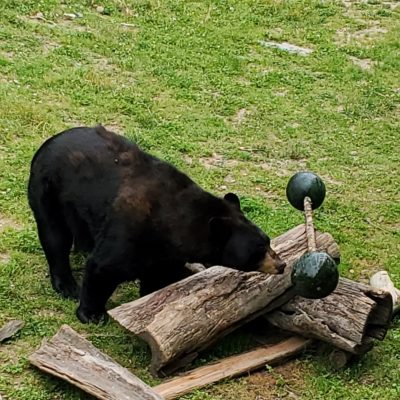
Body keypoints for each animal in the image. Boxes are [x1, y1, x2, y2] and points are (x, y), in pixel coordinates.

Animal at [27, 126, 284, 324]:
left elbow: (157, 275)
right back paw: (66, 285)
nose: (281, 265)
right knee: (55, 236)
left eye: (267, 240)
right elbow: (103, 267)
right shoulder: (130, 230)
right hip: (49, 190)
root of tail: (48, 142)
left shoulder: (166, 253)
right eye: (259, 249)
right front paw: (92, 314)